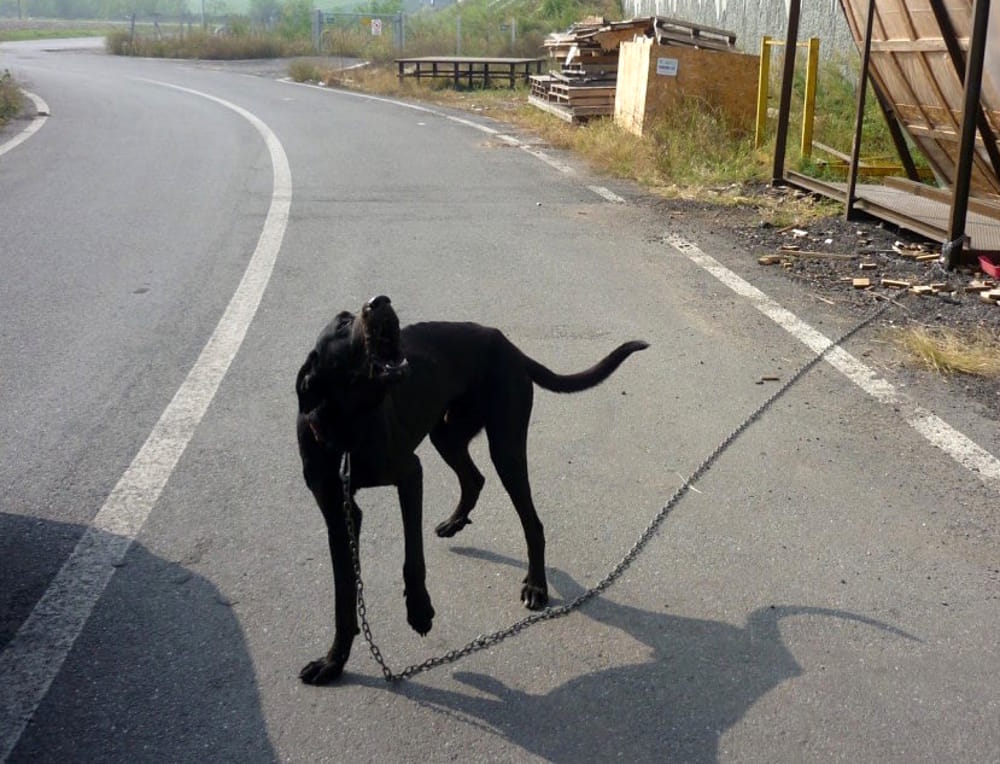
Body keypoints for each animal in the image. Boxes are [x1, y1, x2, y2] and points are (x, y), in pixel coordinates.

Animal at [294, 296, 648, 684]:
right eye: (342, 324)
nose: (380, 300)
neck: (347, 429)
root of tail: (508, 345)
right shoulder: (338, 509)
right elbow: (344, 593)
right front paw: (333, 661)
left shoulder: (410, 475)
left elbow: (412, 557)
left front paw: (419, 610)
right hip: (446, 433)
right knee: (474, 478)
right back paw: (456, 521)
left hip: (505, 446)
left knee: (532, 523)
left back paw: (536, 586)